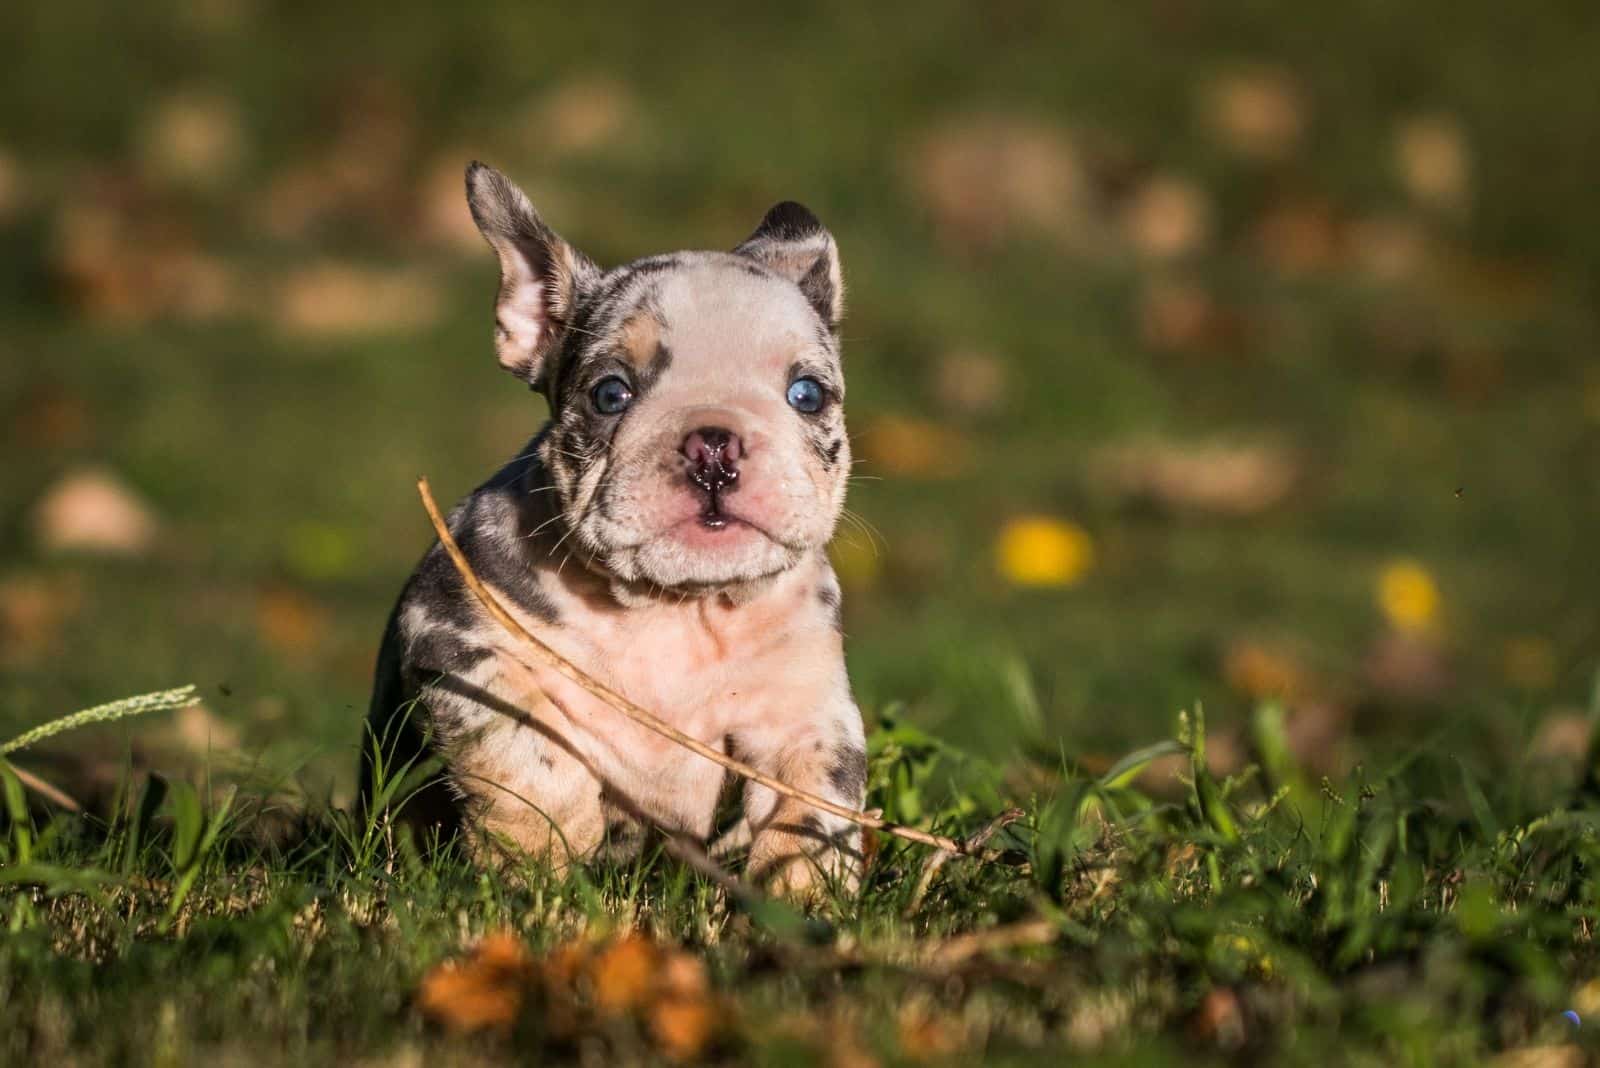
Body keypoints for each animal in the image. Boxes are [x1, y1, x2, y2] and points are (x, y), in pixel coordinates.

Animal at [366, 163, 864, 895]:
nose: (713, 445)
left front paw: (803, 897)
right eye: (610, 394)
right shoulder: (459, 643)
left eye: (807, 395)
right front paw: (541, 864)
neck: (674, 609)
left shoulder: (806, 714)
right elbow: (530, 755)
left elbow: (816, 808)